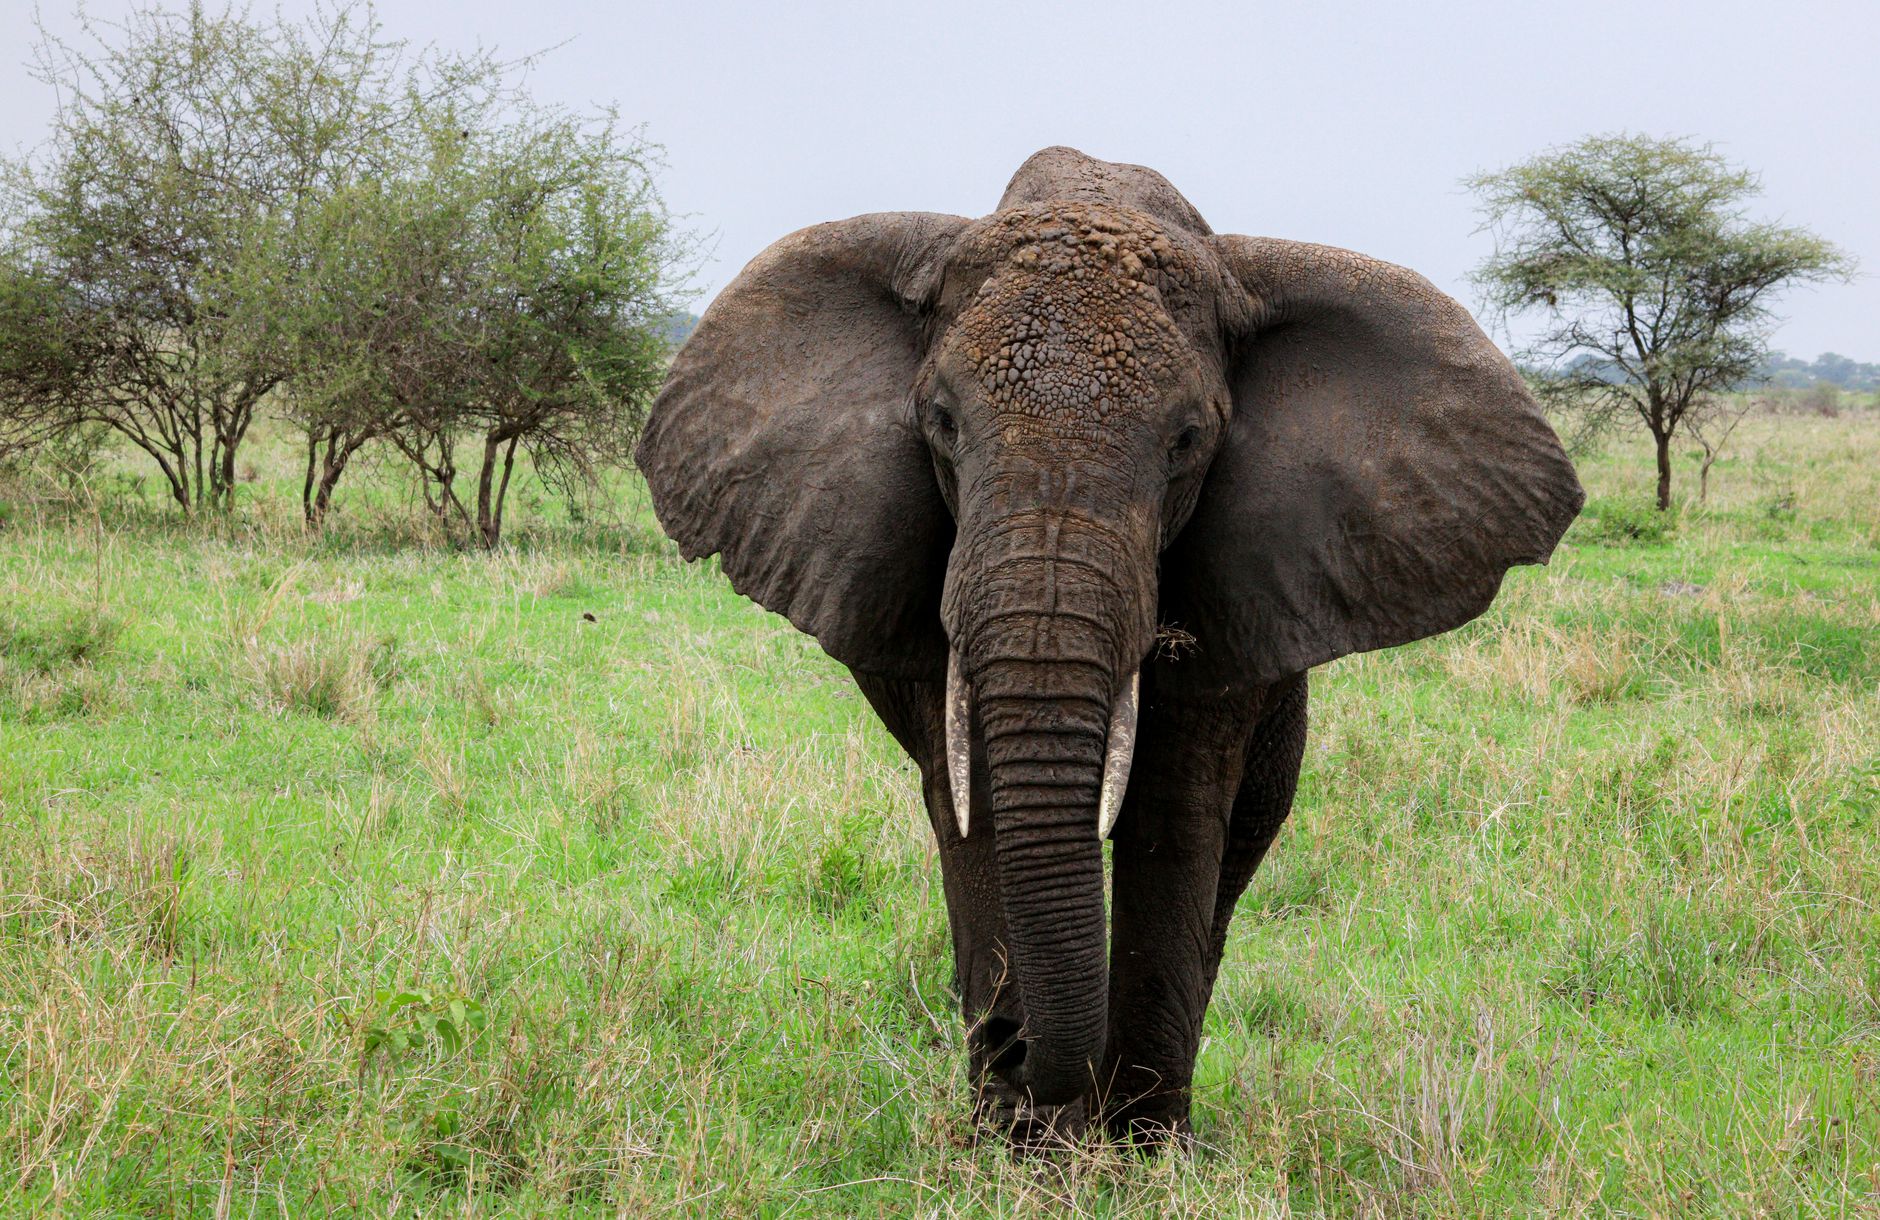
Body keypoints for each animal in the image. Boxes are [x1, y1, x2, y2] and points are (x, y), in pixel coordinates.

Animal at [635, 147, 1583, 1146]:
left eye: (1188, 441)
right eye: (941, 423)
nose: (1010, 1047)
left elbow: (1174, 812)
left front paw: (1139, 1149)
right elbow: (973, 811)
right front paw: (1021, 1146)